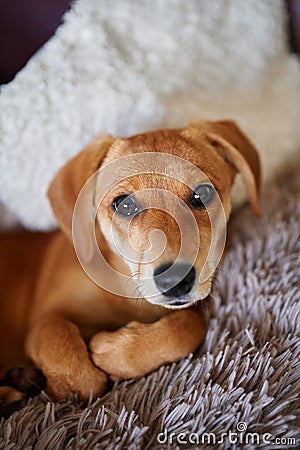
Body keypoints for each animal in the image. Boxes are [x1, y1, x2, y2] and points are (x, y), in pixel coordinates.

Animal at [0, 119, 260, 404]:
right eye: (124, 204)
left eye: (202, 194)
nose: (175, 281)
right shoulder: (43, 319)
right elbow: (65, 348)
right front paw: (68, 384)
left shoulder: (187, 312)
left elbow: (187, 327)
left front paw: (116, 353)